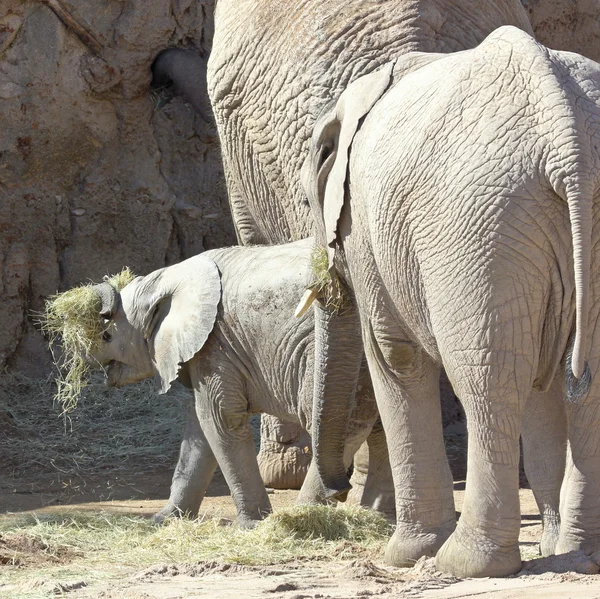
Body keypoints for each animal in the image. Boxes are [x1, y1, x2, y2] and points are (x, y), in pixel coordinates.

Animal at [91, 237, 392, 528]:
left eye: (107, 336)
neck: (166, 278)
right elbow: (200, 427)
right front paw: (164, 520)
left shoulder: (216, 344)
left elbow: (220, 419)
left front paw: (254, 525)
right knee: (380, 425)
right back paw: (379, 518)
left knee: (345, 424)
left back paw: (305, 516)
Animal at [302, 25, 600, 580]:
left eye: (311, 198)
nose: (333, 492)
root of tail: (564, 131)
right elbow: (544, 378)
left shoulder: (368, 228)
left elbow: (395, 357)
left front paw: (404, 555)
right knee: (580, 380)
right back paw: (583, 554)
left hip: (477, 229)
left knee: (487, 379)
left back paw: (467, 563)